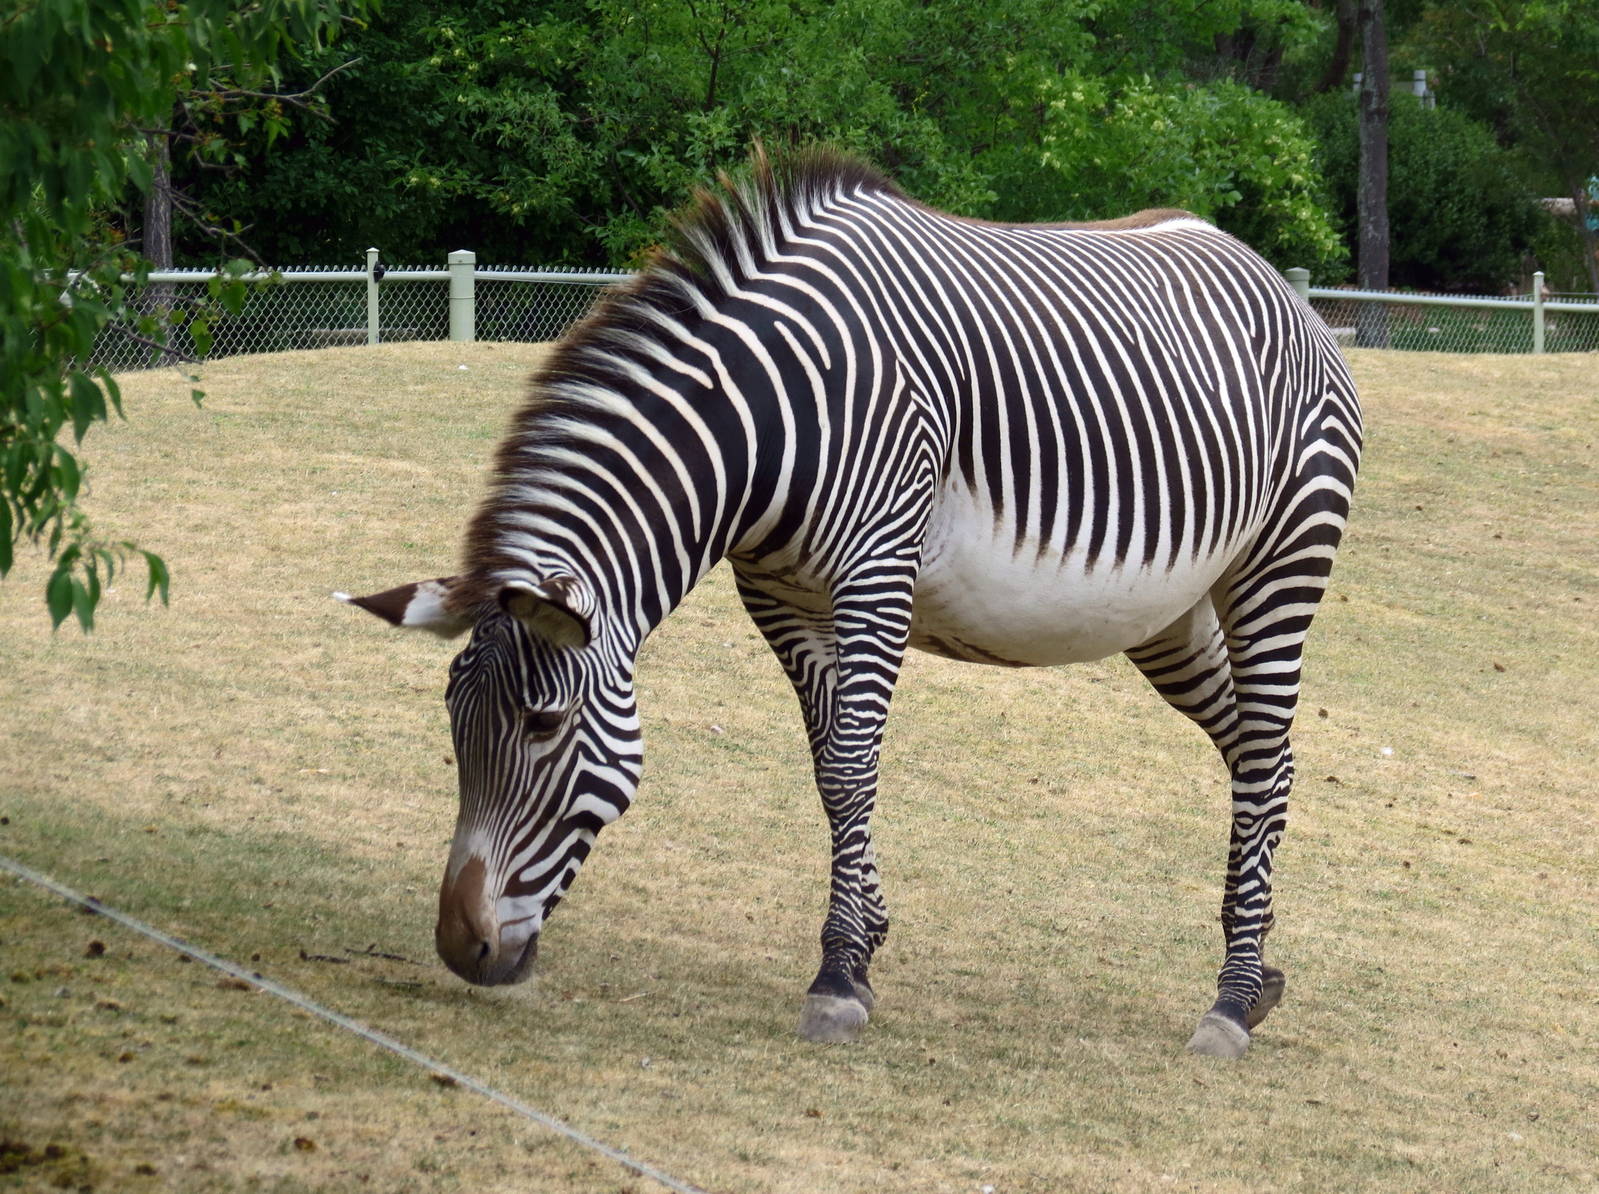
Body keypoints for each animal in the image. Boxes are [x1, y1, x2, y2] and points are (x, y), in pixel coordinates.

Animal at [341, 147, 1361, 1058]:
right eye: (452, 722)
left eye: (543, 726)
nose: (461, 949)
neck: (765, 428)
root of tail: (1271, 278)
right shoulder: (779, 595)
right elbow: (830, 768)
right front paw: (864, 946)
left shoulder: (877, 576)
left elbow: (850, 766)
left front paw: (836, 978)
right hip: (1167, 617)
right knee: (1262, 755)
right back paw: (1259, 975)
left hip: (1280, 566)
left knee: (1263, 757)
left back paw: (1228, 1001)